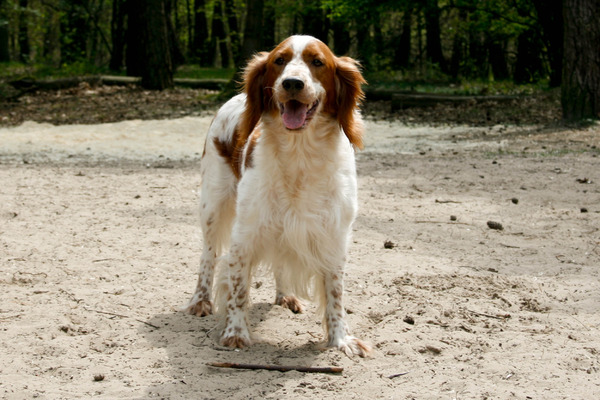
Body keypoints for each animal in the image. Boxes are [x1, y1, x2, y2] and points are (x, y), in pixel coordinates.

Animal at [185, 36, 370, 358]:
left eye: (317, 62)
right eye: (278, 61)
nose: (292, 83)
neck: (299, 154)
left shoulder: (333, 235)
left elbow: (335, 293)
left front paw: (340, 339)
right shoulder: (244, 234)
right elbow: (238, 288)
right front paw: (235, 332)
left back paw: (286, 296)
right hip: (212, 206)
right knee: (208, 256)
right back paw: (200, 300)